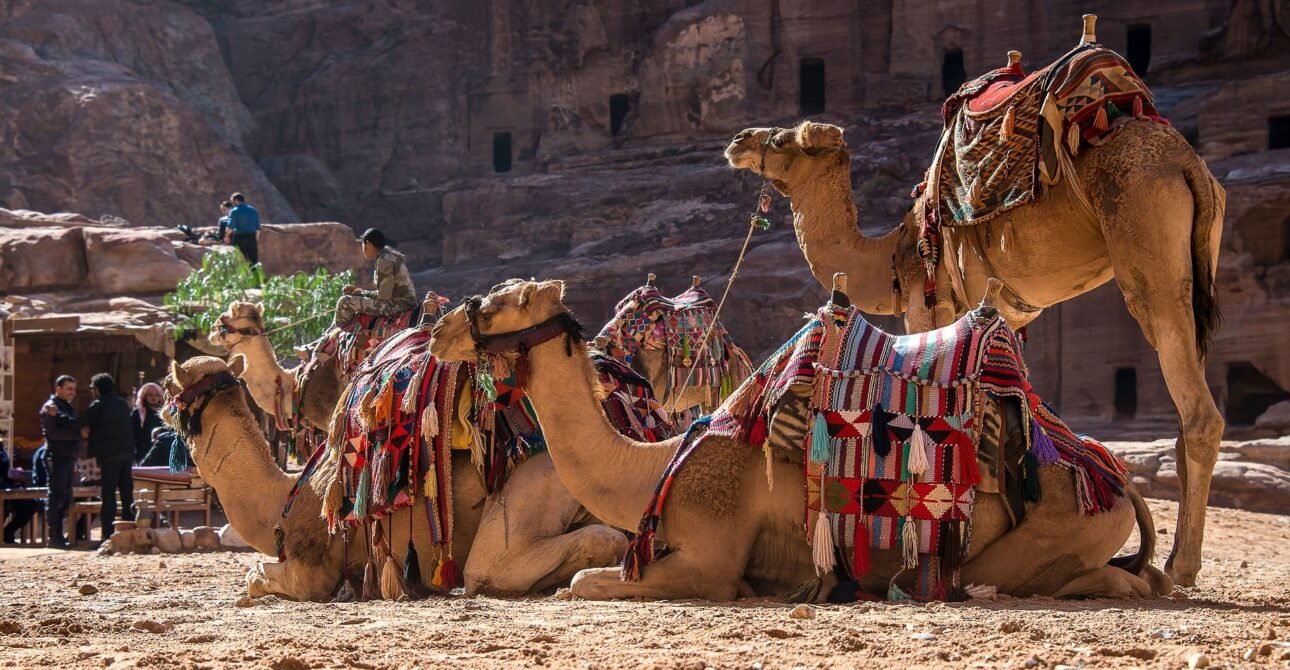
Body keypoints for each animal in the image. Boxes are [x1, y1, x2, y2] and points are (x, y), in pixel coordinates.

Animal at [164, 354, 627, 601]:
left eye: (169, 385)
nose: (161, 409)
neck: (282, 498)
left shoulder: (311, 571)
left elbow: (255, 575)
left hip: (536, 486)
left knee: (494, 566)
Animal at [428, 279, 1171, 601]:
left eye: (495, 303)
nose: (439, 329)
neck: (657, 466)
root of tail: (1113, 478)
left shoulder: (713, 554)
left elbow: (584, 583)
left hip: (1059, 521)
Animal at [724, 115, 1224, 587]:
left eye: (783, 139)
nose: (738, 140)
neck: (890, 257)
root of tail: (1185, 162)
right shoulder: (1000, 313)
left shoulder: (927, 304)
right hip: (1198, 260)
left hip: (1144, 233)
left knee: (1197, 407)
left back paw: (1182, 566)